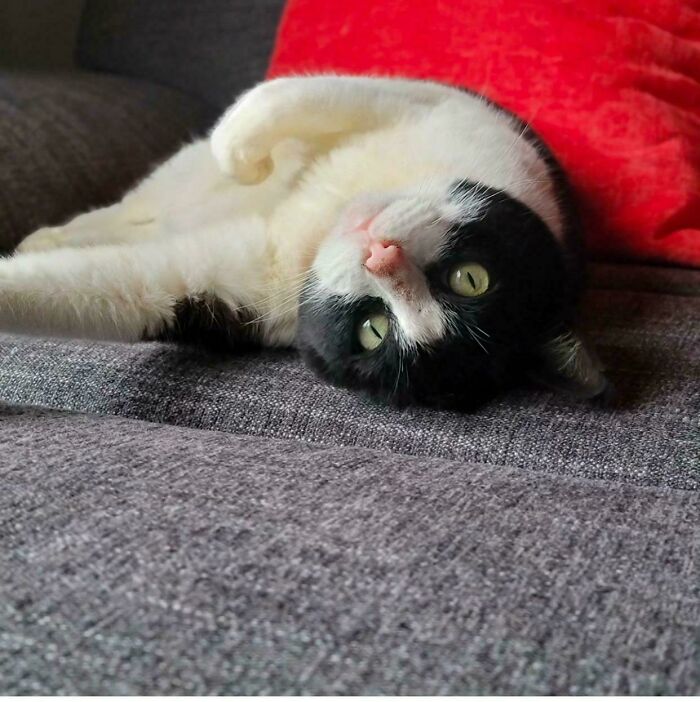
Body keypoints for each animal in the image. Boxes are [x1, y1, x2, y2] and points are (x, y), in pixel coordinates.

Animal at [4, 75, 608, 410]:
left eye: (372, 329)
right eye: (472, 279)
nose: (381, 255)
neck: (320, 219)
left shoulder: (225, 296)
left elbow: (114, 289)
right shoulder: (436, 109)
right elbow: (281, 100)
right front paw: (246, 159)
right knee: (136, 205)